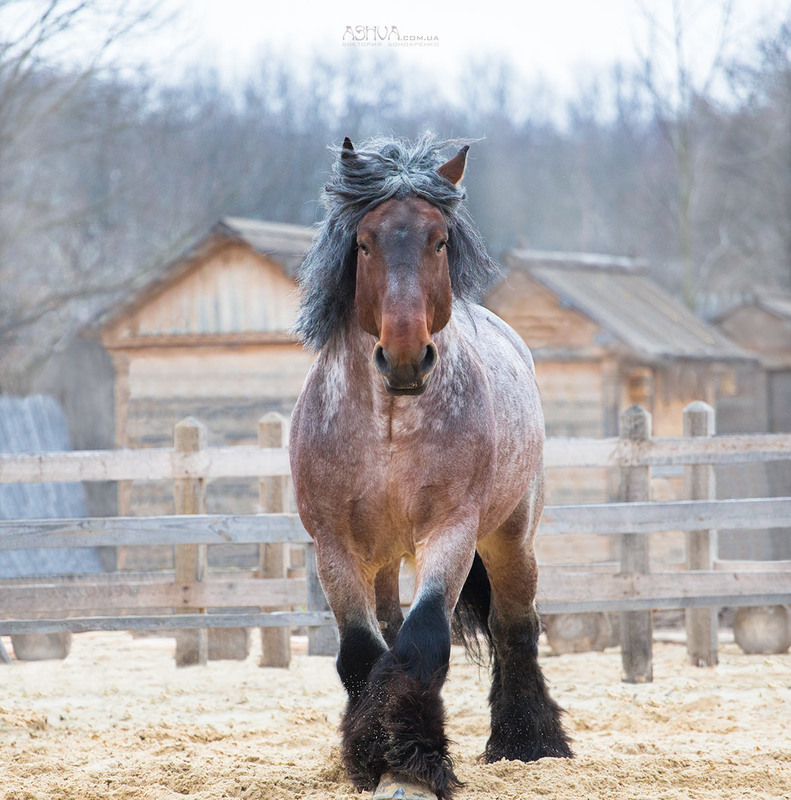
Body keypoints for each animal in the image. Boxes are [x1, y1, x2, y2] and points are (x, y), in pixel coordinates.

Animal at [288, 138, 572, 800]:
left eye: (439, 240)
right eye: (364, 242)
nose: (404, 357)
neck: (390, 426)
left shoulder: (450, 532)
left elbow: (422, 645)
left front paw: (413, 765)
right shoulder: (335, 546)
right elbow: (362, 654)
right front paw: (371, 756)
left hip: (509, 538)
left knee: (514, 626)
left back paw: (527, 743)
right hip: (383, 556)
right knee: (391, 628)